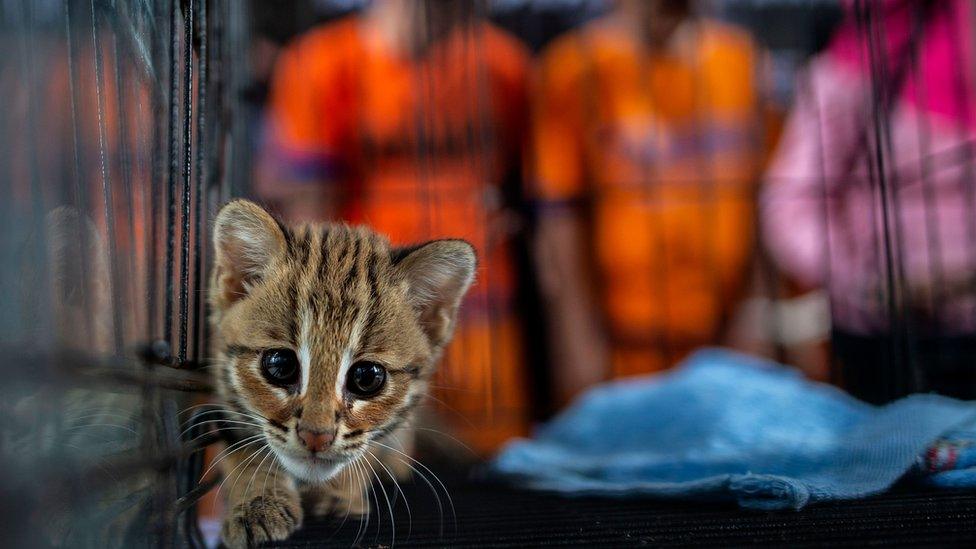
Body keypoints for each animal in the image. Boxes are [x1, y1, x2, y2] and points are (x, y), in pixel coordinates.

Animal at [210, 199, 476, 544]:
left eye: (367, 377)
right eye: (280, 364)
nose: (316, 437)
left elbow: (365, 450)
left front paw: (339, 492)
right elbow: (244, 449)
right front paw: (257, 503)